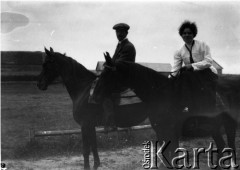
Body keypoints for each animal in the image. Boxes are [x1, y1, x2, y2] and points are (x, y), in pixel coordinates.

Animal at [37, 47, 177, 169]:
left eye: (46, 64)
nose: (39, 84)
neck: (83, 90)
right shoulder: (90, 126)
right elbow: (94, 147)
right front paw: (96, 165)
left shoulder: (84, 125)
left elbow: (86, 150)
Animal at [92, 53, 238, 169]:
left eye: (107, 74)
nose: (94, 97)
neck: (163, 95)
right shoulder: (161, 131)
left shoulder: (171, 131)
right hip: (216, 127)